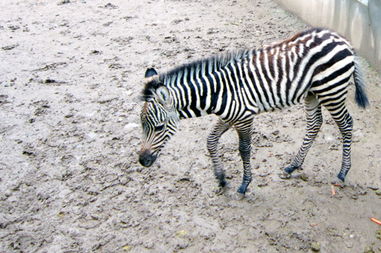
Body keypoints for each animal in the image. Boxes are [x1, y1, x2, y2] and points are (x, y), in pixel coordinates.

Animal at [138, 27, 366, 195]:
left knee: (346, 124)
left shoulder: (244, 117)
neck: (218, 92)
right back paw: (293, 165)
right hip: (312, 93)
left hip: (332, 91)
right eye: (143, 126)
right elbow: (211, 141)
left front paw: (244, 184)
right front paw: (221, 178)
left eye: (158, 127)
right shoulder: (229, 116)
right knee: (314, 124)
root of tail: (342, 39)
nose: (142, 161)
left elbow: (244, 149)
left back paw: (342, 172)